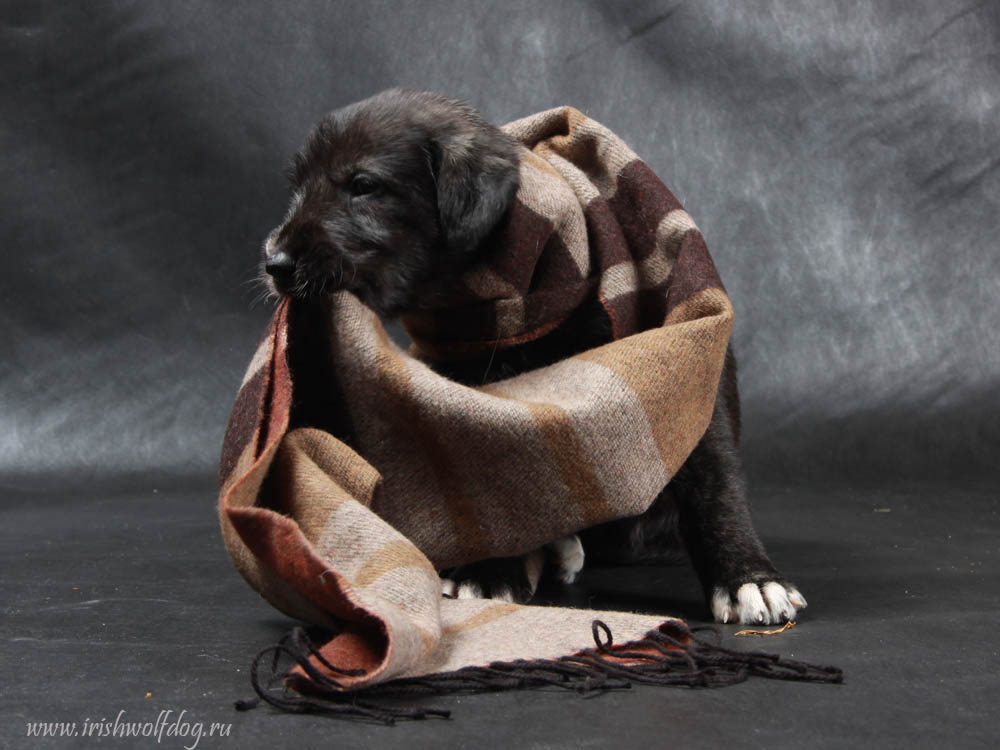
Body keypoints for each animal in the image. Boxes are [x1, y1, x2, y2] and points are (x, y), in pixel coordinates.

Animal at [264, 89, 804, 628]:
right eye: (298, 187)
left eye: (363, 185)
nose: (275, 263)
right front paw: (490, 569)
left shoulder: (684, 363)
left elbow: (713, 483)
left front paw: (747, 578)